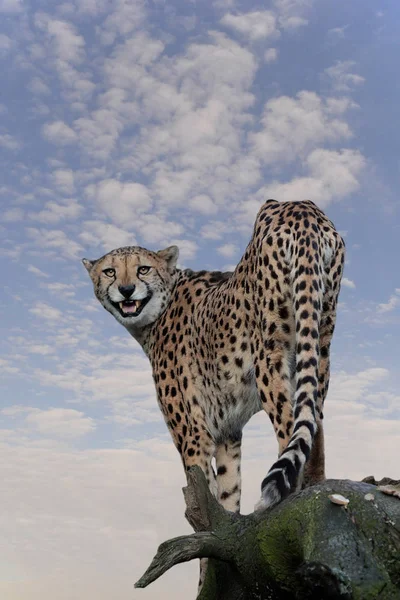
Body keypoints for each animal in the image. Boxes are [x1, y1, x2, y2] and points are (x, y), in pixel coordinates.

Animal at [83, 198, 344, 516]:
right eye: (109, 272)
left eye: (143, 269)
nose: (126, 289)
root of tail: (300, 206)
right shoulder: (227, 433)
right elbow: (228, 492)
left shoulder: (194, 435)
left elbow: (205, 489)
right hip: (321, 341)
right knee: (315, 424)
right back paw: (317, 487)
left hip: (270, 357)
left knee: (288, 429)